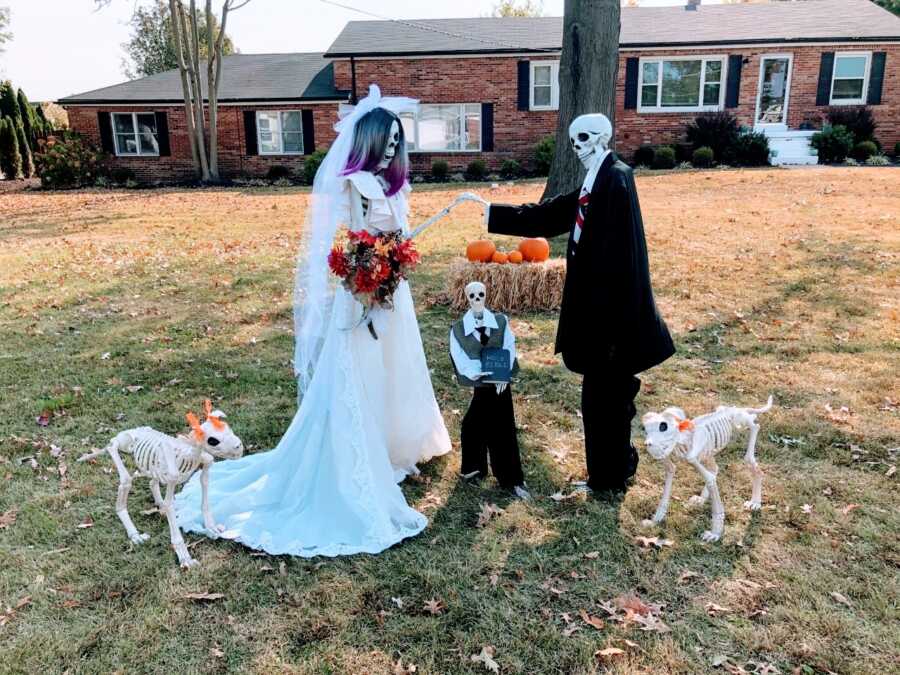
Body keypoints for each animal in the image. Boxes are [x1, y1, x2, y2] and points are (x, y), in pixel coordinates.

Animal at [78, 402, 243, 572]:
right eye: (213, 441)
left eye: (228, 427)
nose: (239, 447)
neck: (188, 454)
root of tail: (132, 430)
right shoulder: (173, 476)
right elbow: (170, 504)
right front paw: (186, 559)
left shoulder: (205, 461)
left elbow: (205, 488)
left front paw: (211, 528)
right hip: (125, 444)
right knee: (117, 457)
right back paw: (135, 535)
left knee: (151, 481)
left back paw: (158, 508)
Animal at [640, 396, 772, 544]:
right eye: (645, 429)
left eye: (663, 426)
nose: (648, 444)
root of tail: (734, 408)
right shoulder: (669, 457)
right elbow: (670, 471)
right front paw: (655, 520)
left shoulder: (695, 447)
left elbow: (707, 476)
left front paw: (714, 534)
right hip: (709, 450)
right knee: (715, 468)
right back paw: (701, 499)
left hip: (739, 421)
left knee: (754, 427)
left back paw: (755, 502)